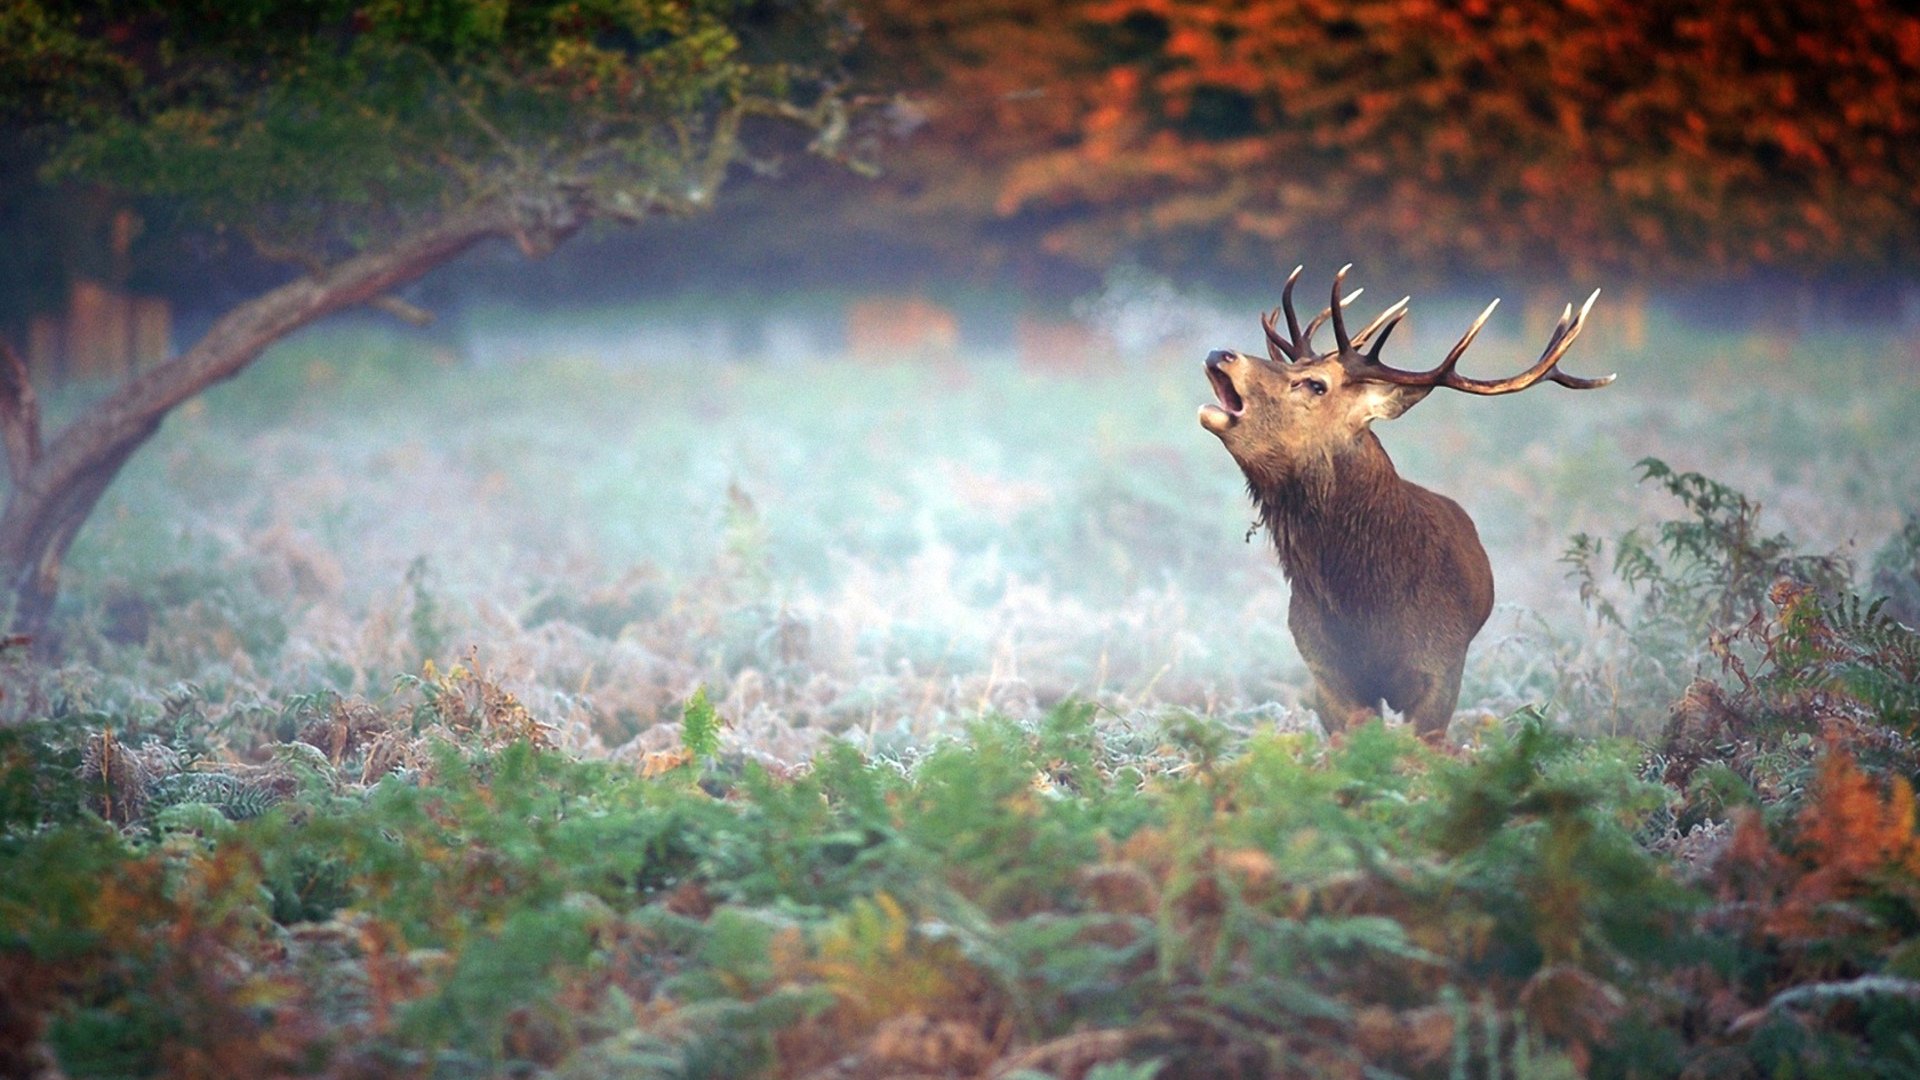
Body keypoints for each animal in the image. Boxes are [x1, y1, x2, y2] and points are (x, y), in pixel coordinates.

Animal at [1198, 265, 1612, 743]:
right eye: (1292, 366)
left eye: (1316, 384)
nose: (1221, 352)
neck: (1369, 605)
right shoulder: (1325, 673)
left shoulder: (1442, 669)